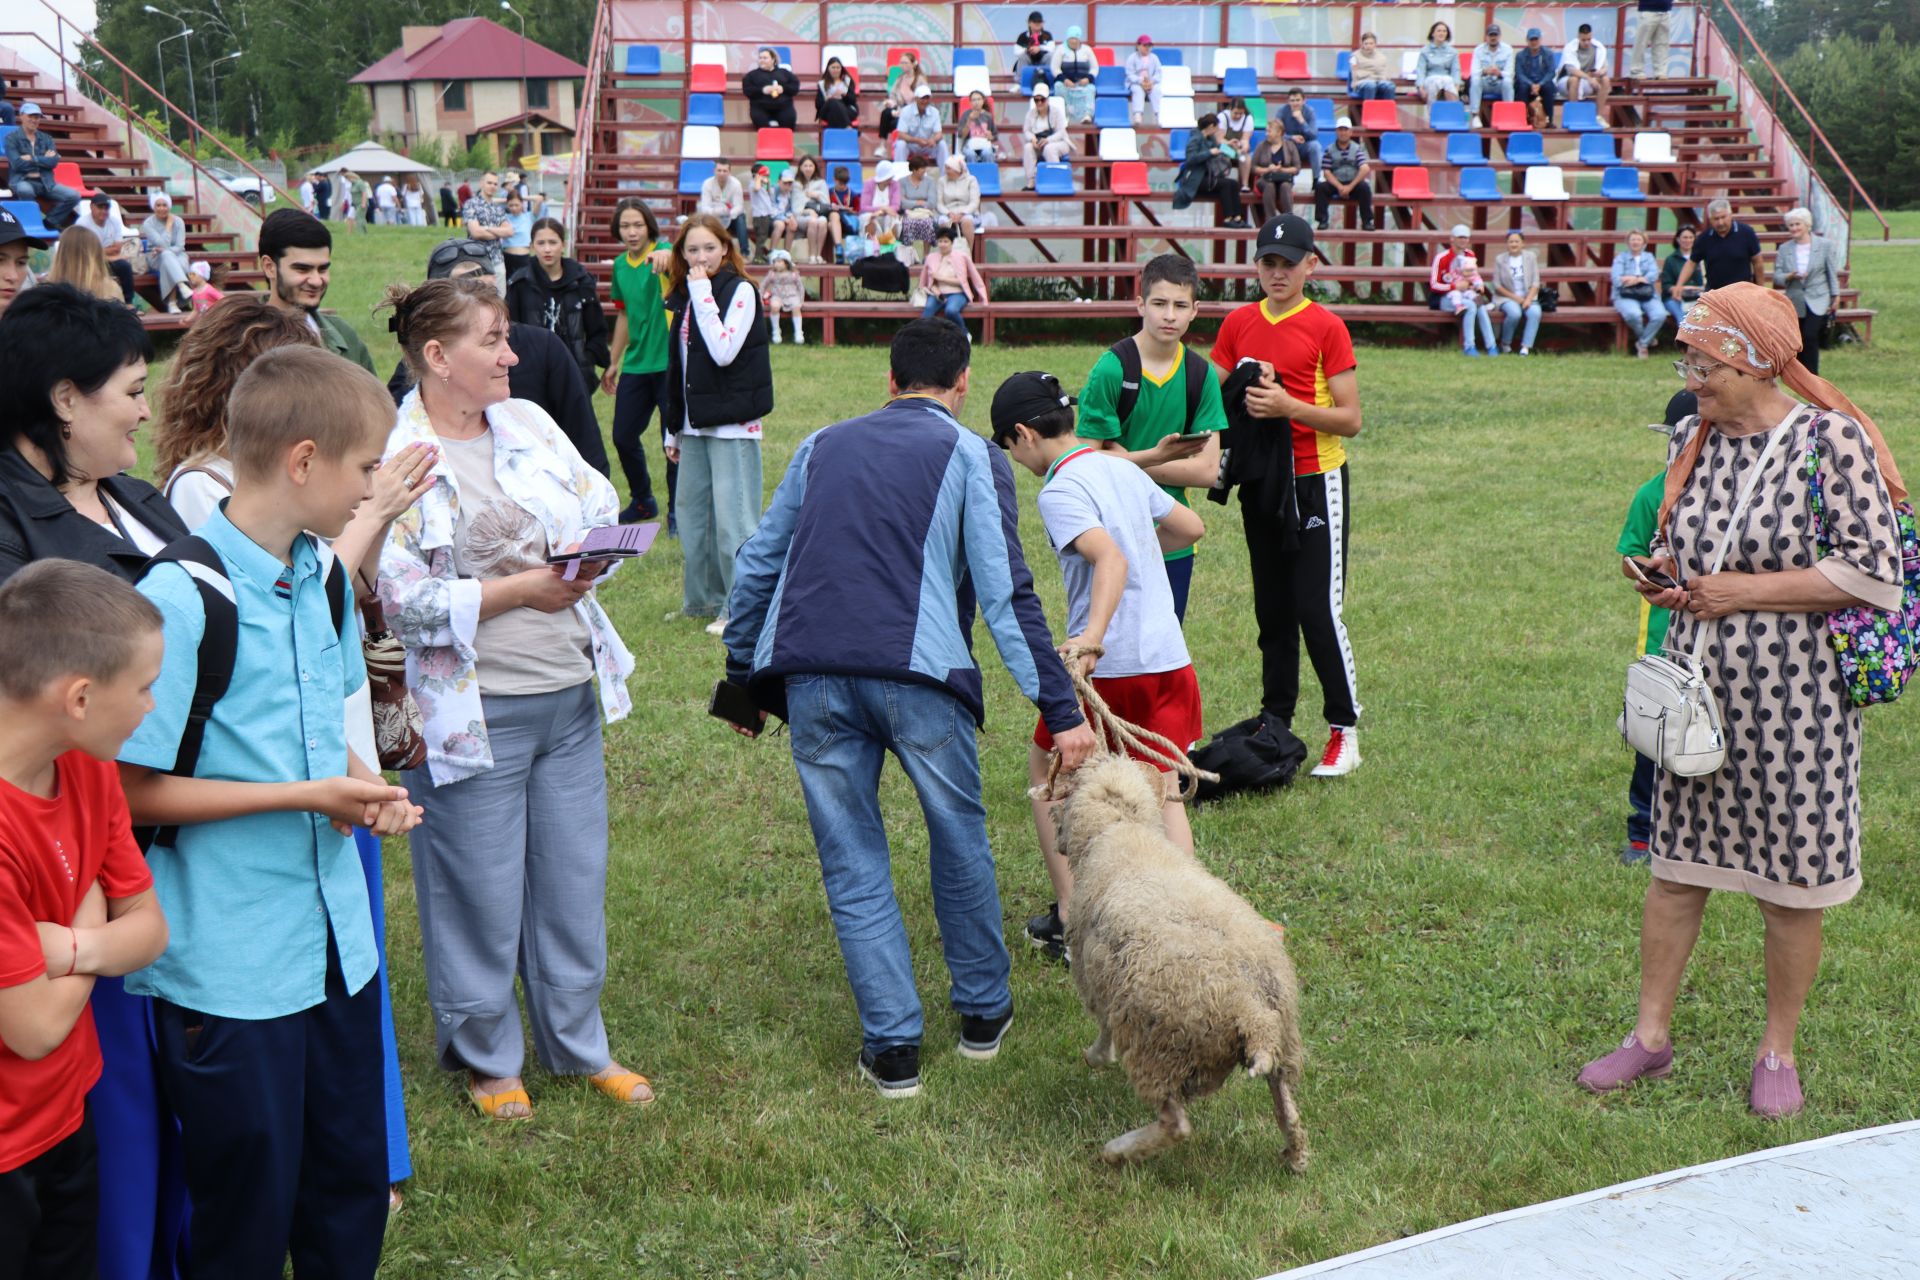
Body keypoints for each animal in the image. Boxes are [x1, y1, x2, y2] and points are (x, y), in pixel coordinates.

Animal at [1052, 759, 1305, 1174]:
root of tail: (1251, 1010)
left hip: (1160, 1049)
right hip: (1283, 1041)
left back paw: (1117, 1151)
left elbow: (1103, 1026)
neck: (1122, 829)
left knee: (1176, 1124)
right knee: (1286, 1104)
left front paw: (1096, 1057)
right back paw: (1295, 1156)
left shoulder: (1096, 982)